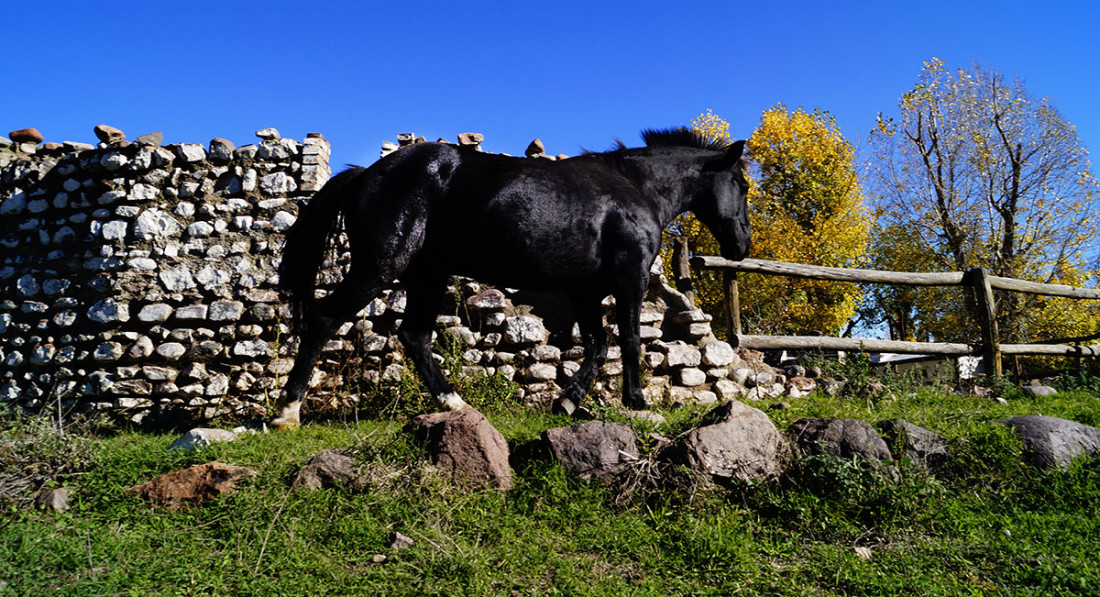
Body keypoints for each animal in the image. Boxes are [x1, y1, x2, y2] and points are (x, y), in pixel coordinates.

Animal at [271, 129, 752, 430]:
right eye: (743, 185)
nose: (742, 246)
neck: (636, 188)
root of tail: (364, 175)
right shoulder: (628, 280)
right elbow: (630, 340)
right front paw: (637, 402)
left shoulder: (586, 292)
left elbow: (598, 346)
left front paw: (567, 399)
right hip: (379, 268)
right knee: (323, 320)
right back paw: (286, 412)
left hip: (428, 275)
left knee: (415, 336)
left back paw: (454, 403)